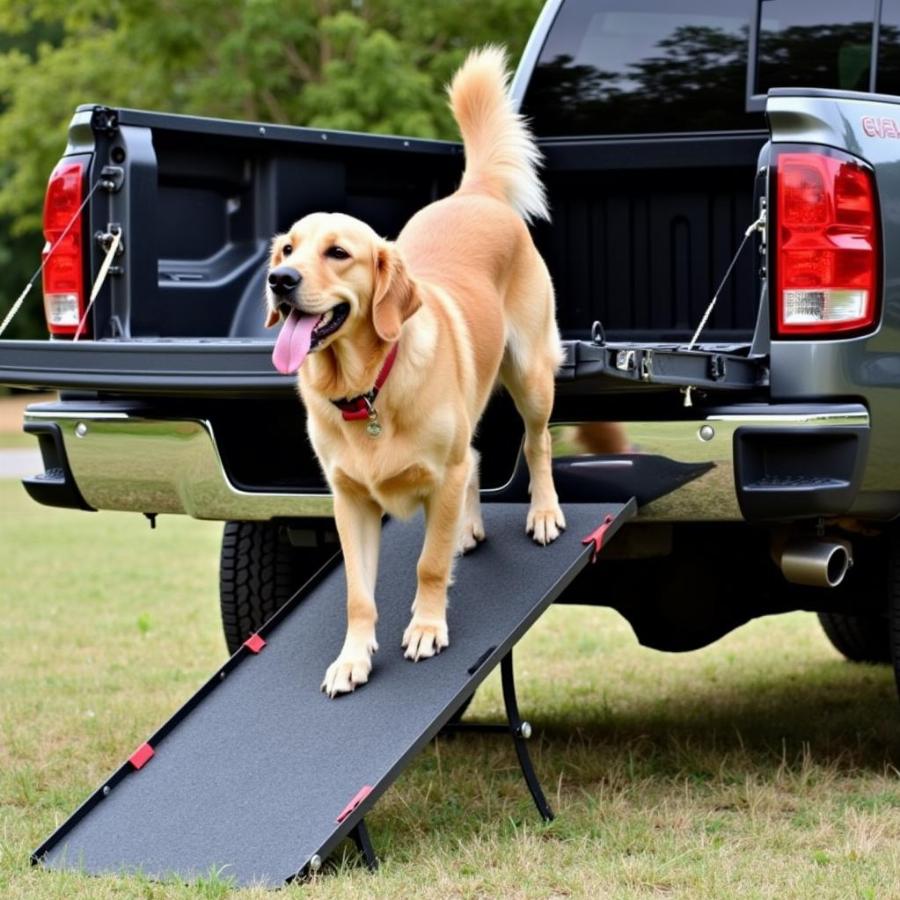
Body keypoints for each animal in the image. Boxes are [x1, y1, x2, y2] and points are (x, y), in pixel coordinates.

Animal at [264, 49, 568, 696]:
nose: (280, 281)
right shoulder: (350, 498)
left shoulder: (440, 479)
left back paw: (543, 512)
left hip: (530, 375)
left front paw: (427, 629)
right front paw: (352, 659)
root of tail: (475, 193)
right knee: (478, 455)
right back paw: (472, 528)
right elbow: (358, 593)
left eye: (338, 253)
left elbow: (429, 562)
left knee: (537, 443)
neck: (365, 388)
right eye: (288, 249)